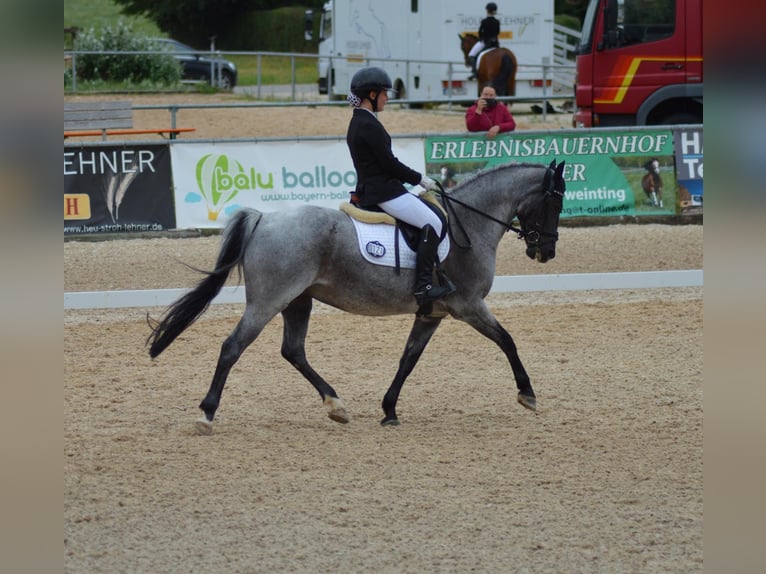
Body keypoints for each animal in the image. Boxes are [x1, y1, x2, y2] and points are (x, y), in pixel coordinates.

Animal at [147, 160, 568, 434]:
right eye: (555, 202)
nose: (546, 251)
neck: (470, 223)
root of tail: (264, 218)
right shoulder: (468, 306)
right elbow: (507, 341)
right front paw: (527, 394)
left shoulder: (431, 313)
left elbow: (408, 360)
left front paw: (389, 409)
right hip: (268, 302)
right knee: (233, 347)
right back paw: (206, 414)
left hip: (298, 301)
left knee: (293, 351)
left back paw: (336, 406)